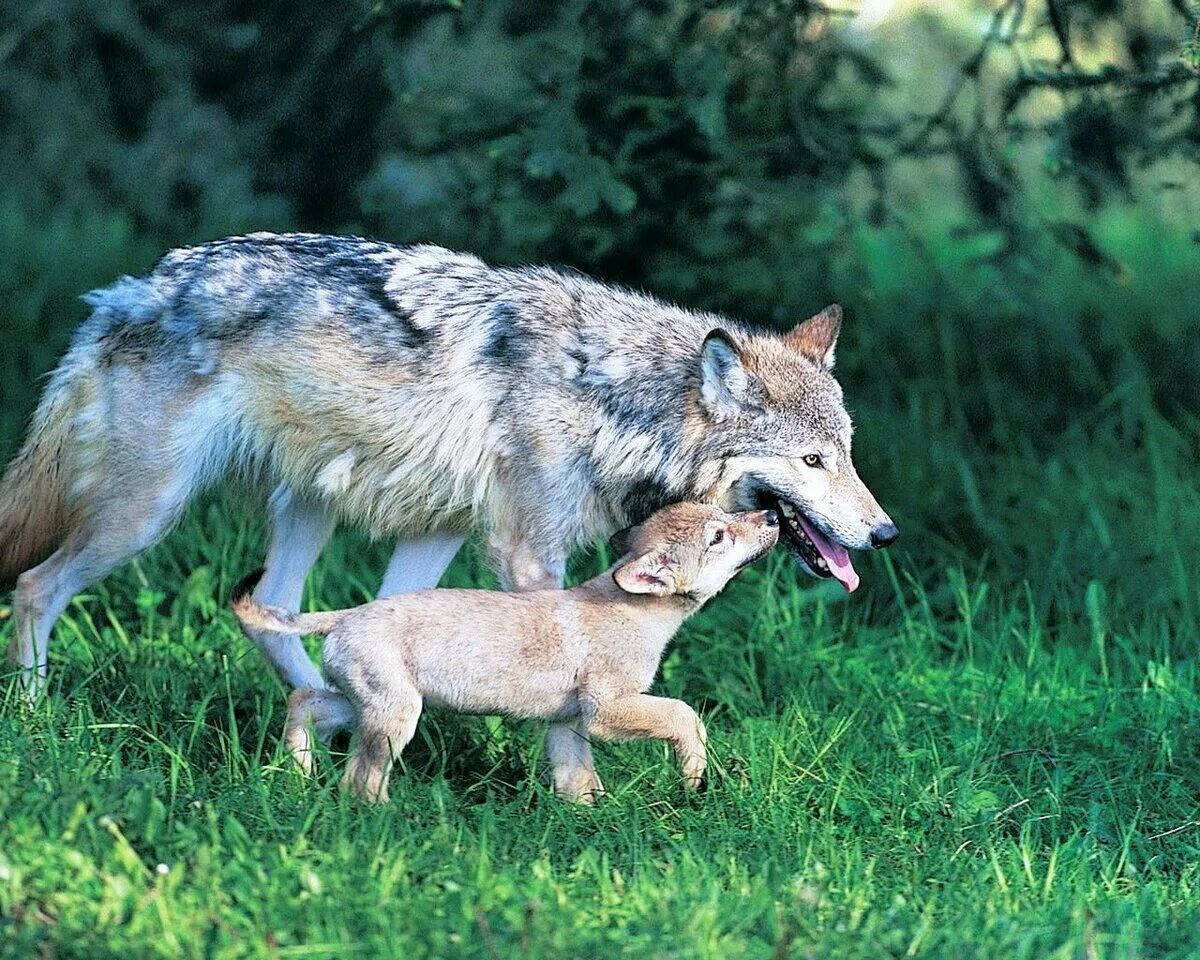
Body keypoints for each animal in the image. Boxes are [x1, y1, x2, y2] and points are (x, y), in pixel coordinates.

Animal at [234, 501, 777, 801]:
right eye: (719, 536)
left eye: (725, 515)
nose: (773, 514)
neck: (634, 609)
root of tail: (345, 615)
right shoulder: (606, 710)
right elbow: (686, 715)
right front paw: (694, 774)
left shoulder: (568, 723)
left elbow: (577, 778)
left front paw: (589, 818)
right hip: (392, 717)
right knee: (360, 781)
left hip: (368, 703)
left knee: (304, 703)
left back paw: (296, 774)